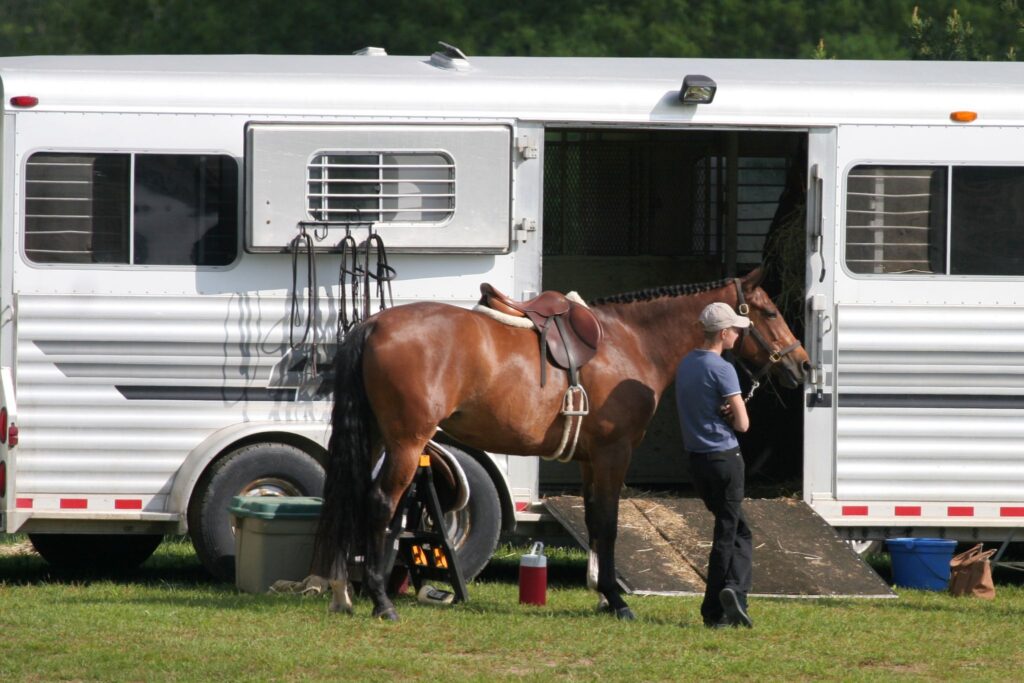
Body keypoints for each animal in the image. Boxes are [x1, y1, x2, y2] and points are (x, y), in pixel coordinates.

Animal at [315, 266, 811, 618]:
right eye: (769, 312)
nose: (803, 365)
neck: (631, 341)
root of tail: (374, 324)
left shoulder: (591, 459)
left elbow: (594, 520)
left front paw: (601, 593)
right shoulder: (614, 453)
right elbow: (608, 522)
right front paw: (616, 600)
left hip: (379, 439)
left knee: (349, 496)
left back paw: (341, 592)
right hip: (406, 441)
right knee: (380, 502)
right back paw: (381, 601)